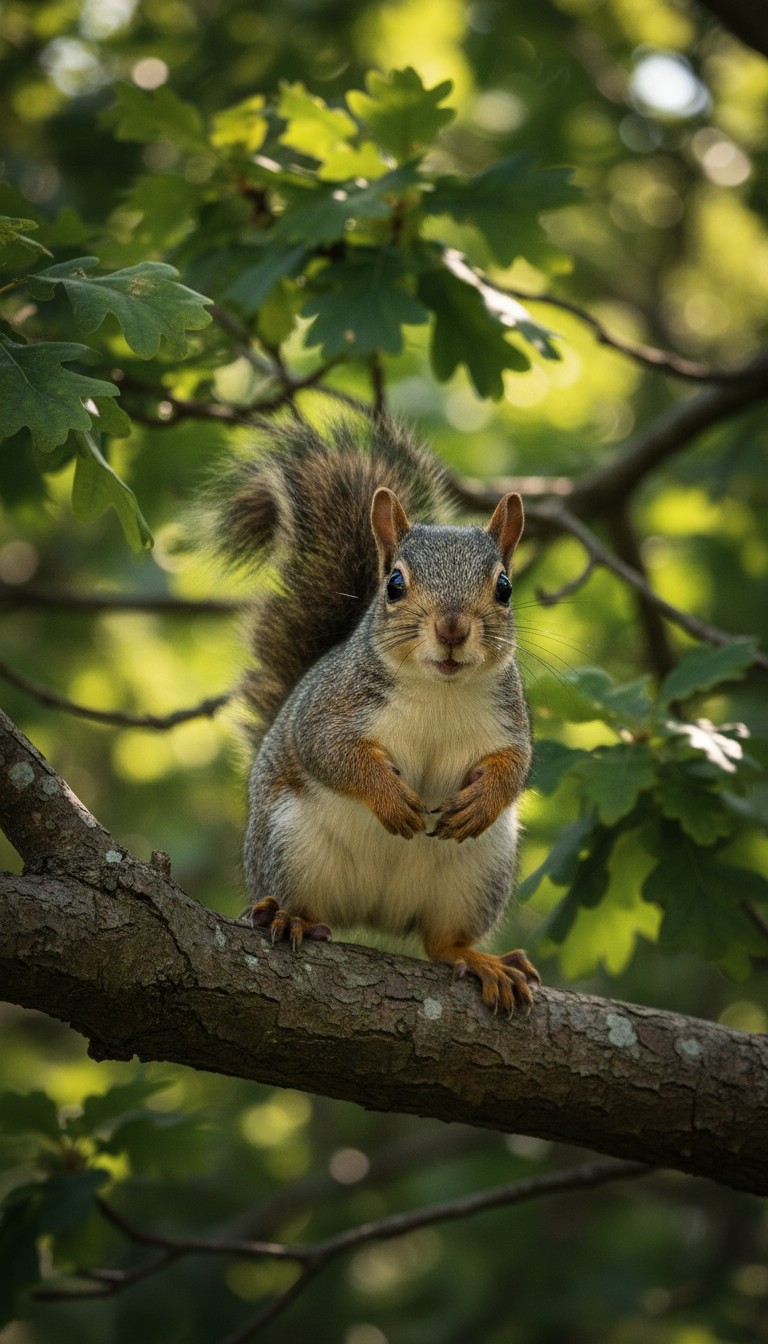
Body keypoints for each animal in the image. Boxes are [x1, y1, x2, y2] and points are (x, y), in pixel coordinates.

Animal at [215, 414, 539, 1014]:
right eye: (395, 584)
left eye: (504, 588)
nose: (453, 628)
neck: (439, 691)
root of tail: (377, 912)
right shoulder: (329, 710)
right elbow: (331, 753)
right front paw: (386, 796)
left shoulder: (511, 721)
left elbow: (517, 765)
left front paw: (484, 799)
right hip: (289, 845)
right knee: (308, 908)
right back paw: (291, 917)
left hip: (477, 875)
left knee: (442, 943)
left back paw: (481, 961)